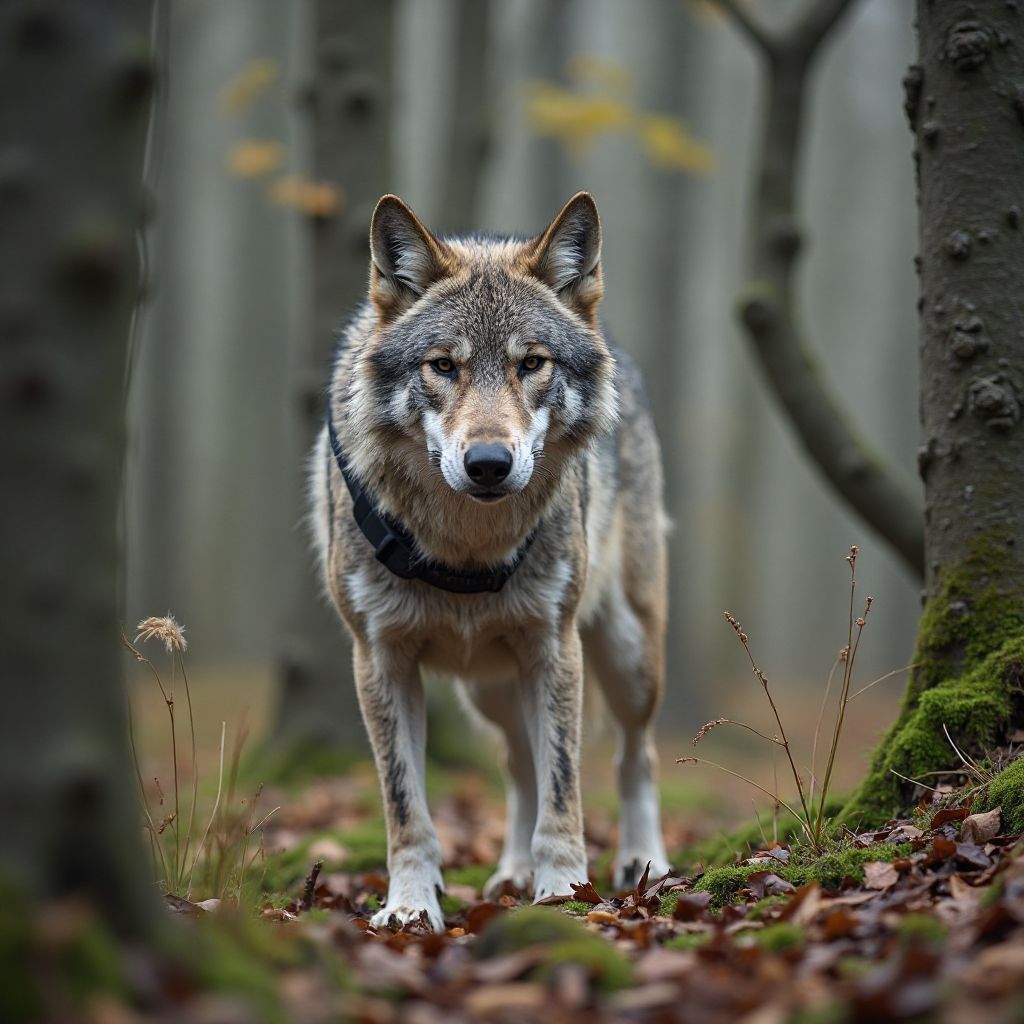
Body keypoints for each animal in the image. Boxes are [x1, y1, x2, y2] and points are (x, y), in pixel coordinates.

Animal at [310, 191, 670, 931]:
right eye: (443, 366)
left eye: (531, 364)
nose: (487, 463)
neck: (463, 548)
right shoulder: (379, 660)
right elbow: (407, 810)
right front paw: (410, 907)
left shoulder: (555, 648)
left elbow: (565, 792)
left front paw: (563, 894)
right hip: (491, 690)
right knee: (516, 766)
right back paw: (512, 871)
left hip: (624, 656)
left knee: (636, 754)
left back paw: (642, 861)